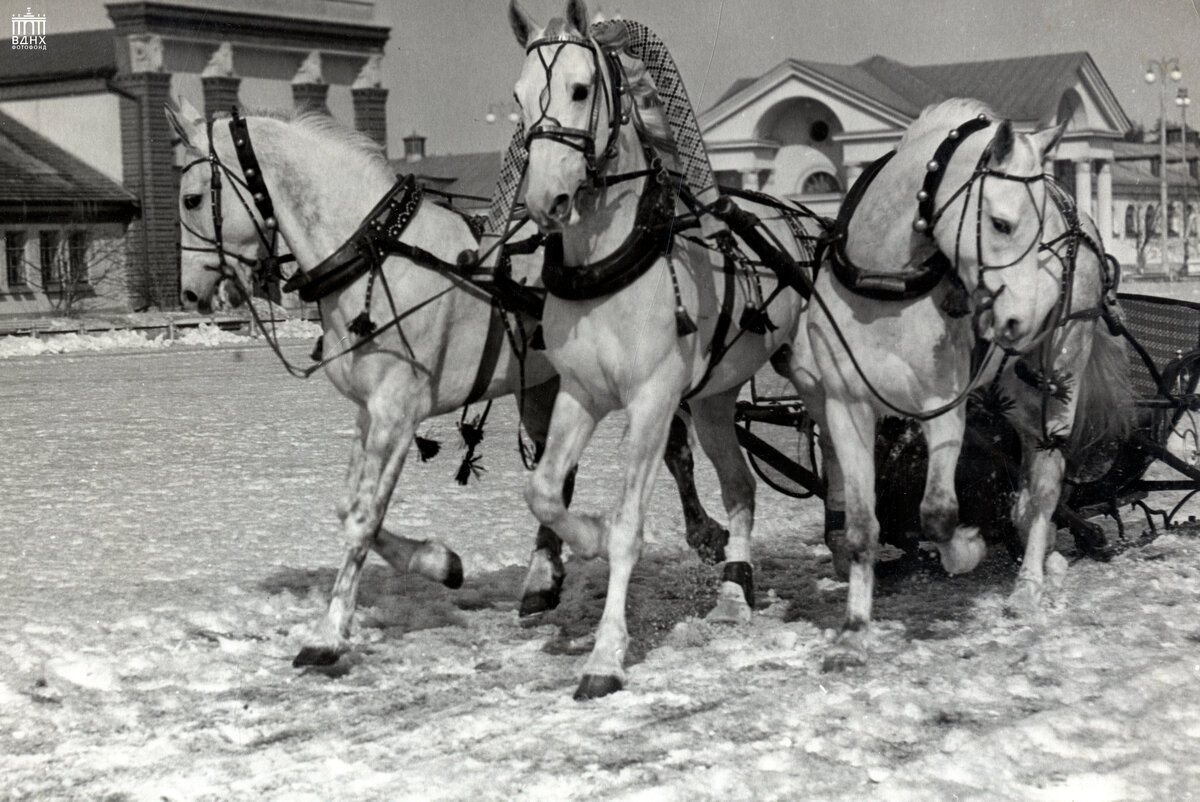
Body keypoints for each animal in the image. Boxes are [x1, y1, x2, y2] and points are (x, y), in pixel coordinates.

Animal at [166, 97, 729, 667]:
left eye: (191, 199)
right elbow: (349, 507)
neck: (376, 254)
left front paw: (329, 633)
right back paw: (542, 576)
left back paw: (703, 532)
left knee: (675, 449)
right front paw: (438, 561)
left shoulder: (397, 409)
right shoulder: (369, 411)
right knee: (559, 473)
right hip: (543, 385)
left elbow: (362, 518)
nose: (188, 294)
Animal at [506, 0, 825, 696]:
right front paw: (587, 538)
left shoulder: (652, 401)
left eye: (580, 89)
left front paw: (605, 655)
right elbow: (543, 489)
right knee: (741, 487)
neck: (609, 264)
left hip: (814, 376)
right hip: (712, 402)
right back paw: (733, 593)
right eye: (516, 99)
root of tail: (807, 220)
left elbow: (630, 524)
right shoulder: (581, 394)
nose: (544, 201)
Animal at [806, 97, 1132, 667]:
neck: (885, 287)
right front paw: (854, 631)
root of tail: (1085, 218)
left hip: (1060, 373)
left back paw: (1029, 585)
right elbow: (862, 528)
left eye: (1040, 231)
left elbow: (938, 512)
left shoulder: (943, 407)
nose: (1023, 320)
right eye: (1000, 223)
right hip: (1014, 396)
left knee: (1045, 483)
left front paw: (966, 548)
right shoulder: (847, 406)